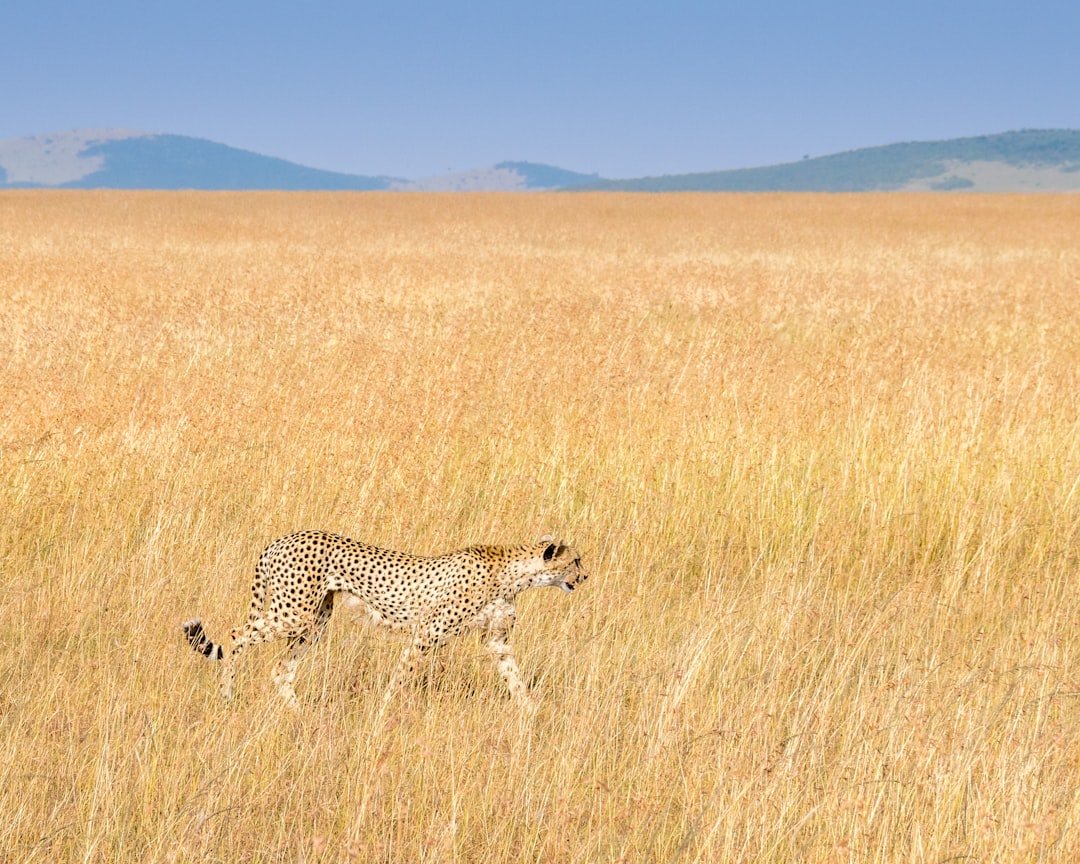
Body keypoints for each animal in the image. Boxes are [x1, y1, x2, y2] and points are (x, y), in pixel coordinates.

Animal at [181, 531, 585, 711]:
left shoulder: (497, 641)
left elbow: (515, 678)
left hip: (315, 620)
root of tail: (280, 540)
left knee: (281, 668)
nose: (585, 577)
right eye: (576, 561)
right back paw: (227, 695)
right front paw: (384, 711)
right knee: (236, 634)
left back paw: (299, 714)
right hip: (293, 613)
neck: (512, 573)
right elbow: (402, 677)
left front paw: (531, 715)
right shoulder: (426, 634)